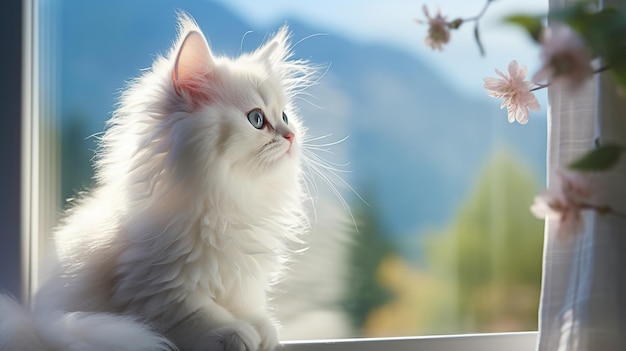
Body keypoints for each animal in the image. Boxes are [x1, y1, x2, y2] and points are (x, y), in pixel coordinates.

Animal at [0, 13, 322, 351]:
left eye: (285, 117)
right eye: (257, 119)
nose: (291, 136)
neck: (231, 197)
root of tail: (33, 323)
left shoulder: (240, 278)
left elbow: (246, 306)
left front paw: (264, 330)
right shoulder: (157, 292)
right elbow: (200, 314)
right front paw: (237, 334)